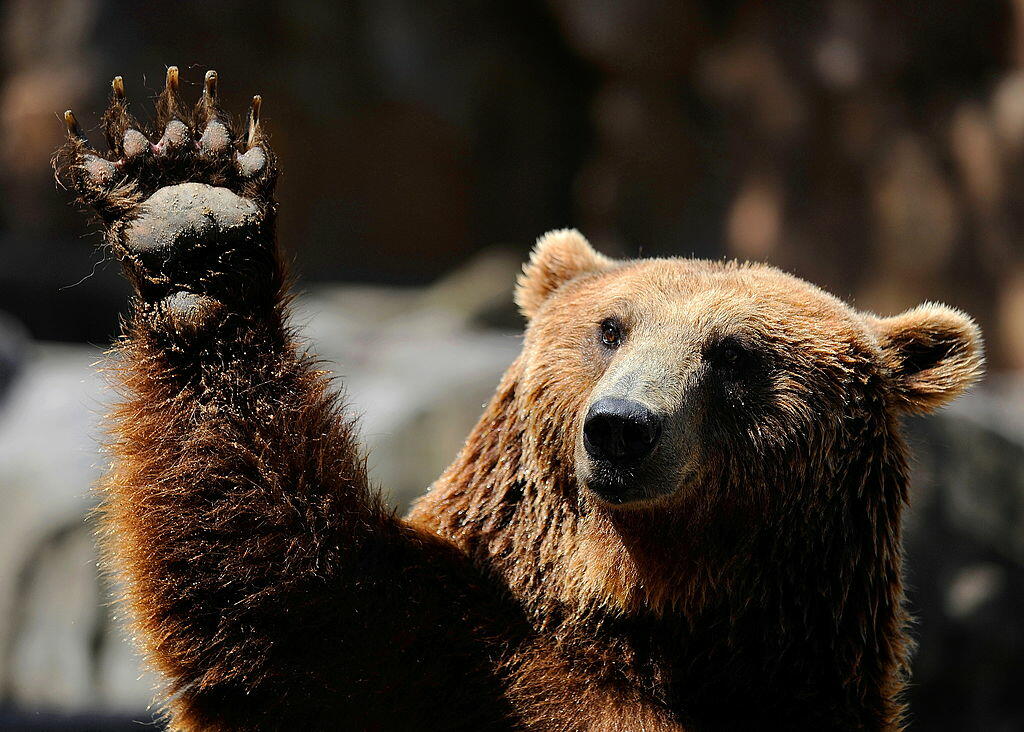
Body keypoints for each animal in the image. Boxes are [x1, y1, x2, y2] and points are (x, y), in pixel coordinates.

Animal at [56, 69, 983, 731]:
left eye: (735, 356)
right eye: (612, 328)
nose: (621, 430)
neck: (642, 610)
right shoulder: (420, 649)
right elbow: (260, 575)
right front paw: (189, 198)